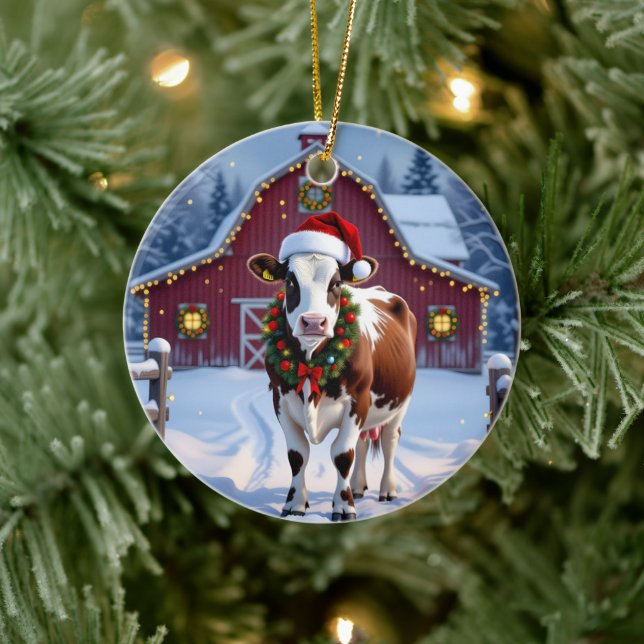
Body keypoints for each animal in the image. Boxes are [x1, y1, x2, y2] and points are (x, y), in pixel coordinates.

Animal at [247, 251, 416, 521]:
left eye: (336, 283)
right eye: (290, 282)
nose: (313, 322)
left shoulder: (357, 401)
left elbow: (342, 455)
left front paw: (344, 508)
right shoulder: (280, 400)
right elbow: (298, 454)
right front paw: (295, 505)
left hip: (402, 401)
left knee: (390, 440)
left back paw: (387, 491)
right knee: (363, 443)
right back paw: (357, 487)